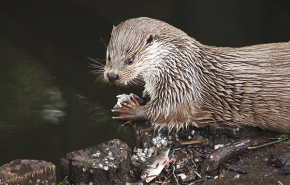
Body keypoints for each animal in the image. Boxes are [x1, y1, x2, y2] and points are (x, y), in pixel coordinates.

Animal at [103, 17, 290, 133]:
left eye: (130, 60)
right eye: (109, 56)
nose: (112, 75)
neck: (180, 66)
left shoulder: (183, 88)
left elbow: (166, 111)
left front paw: (132, 110)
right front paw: (141, 98)